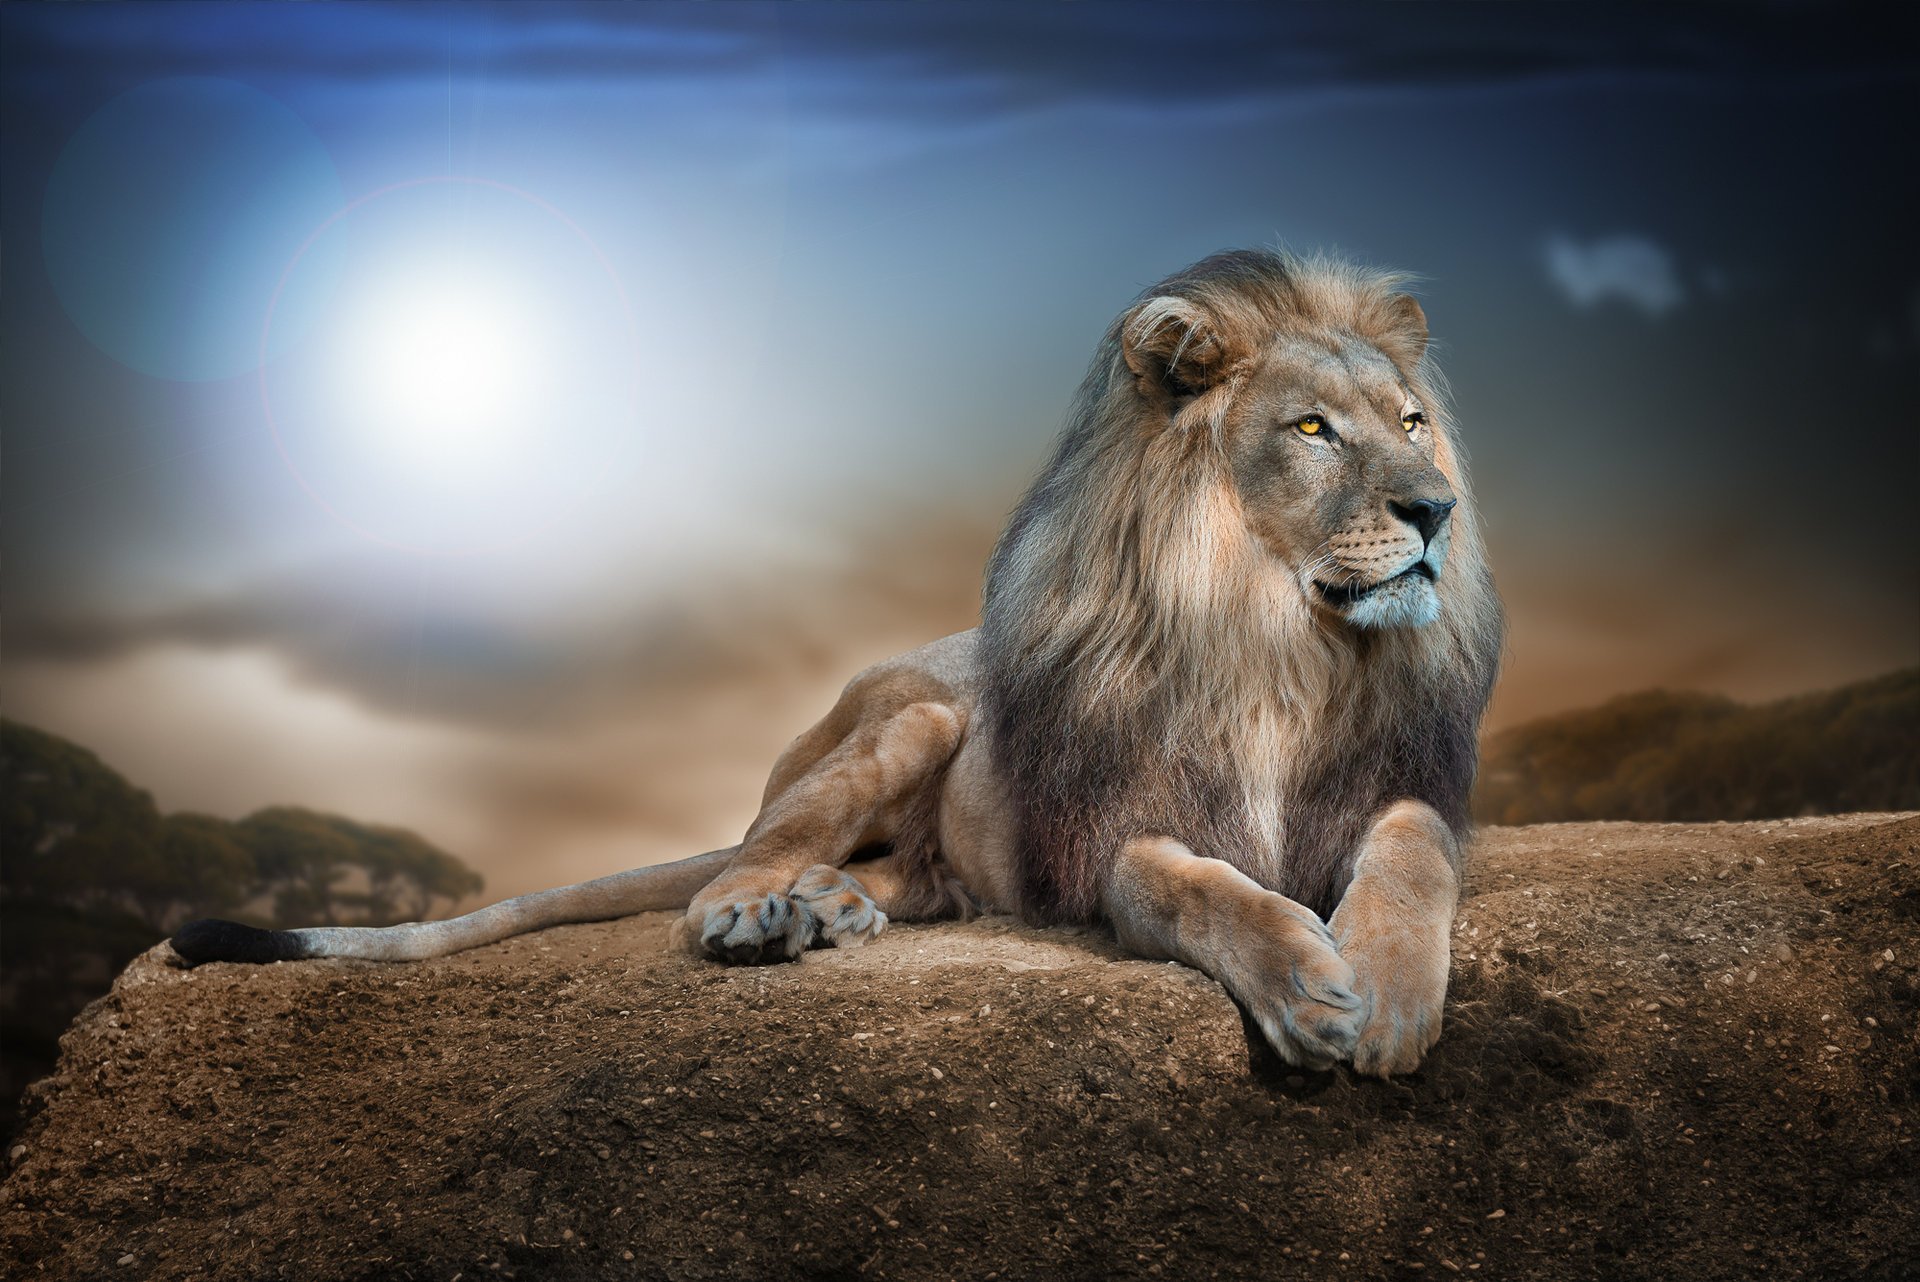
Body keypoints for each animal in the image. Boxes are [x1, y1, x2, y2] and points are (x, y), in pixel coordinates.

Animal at [172, 249, 1503, 1076]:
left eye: (1414, 422)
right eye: (1313, 429)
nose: (1436, 509)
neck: (1278, 643)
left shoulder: (1396, 786)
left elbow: (1413, 852)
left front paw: (1385, 992)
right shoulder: (1115, 836)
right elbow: (1199, 889)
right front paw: (1308, 984)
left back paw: (834, 908)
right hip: (912, 720)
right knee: (739, 860)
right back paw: (763, 912)